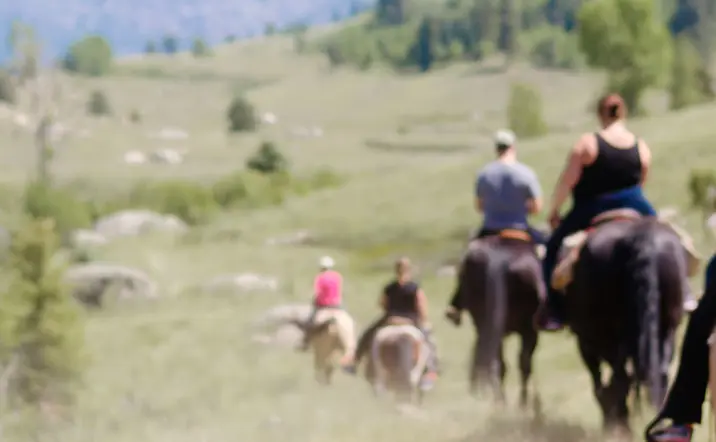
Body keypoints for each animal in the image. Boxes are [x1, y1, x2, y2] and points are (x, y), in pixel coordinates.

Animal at [555, 209, 687, 434]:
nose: (607, 424)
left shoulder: (587, 341)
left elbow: (602, 383)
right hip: (668, 325)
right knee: (658, 371)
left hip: (604, 336)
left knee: (622, 377)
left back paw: (626, 426)